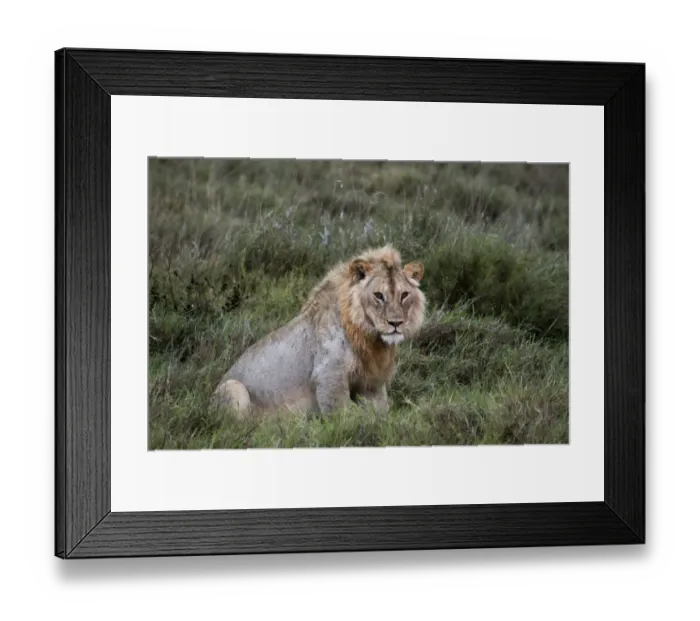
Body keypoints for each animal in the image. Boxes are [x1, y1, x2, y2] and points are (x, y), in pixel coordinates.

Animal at [212, 244, 426, 419]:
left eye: (404, 295)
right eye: (378, 295)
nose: (396, 323)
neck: (369, 337)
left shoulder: (370, 383)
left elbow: (379, 413)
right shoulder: (329, 374)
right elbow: (345, 416)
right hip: (232, 387)